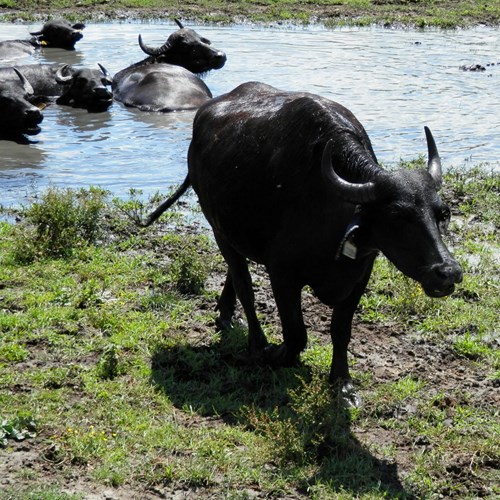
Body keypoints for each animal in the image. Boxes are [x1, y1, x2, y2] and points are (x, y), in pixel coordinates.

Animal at [143, 82, 462, 406]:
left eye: (443, 213)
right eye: (397, 215)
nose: (447, 272)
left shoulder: (360, 274)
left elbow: (341, 331)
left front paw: (343, 385)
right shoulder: (282, 273)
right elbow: (296, 333)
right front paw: (277, 354)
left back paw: (225, 315)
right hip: (218, 227)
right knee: (244, 284)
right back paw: (256, 342)